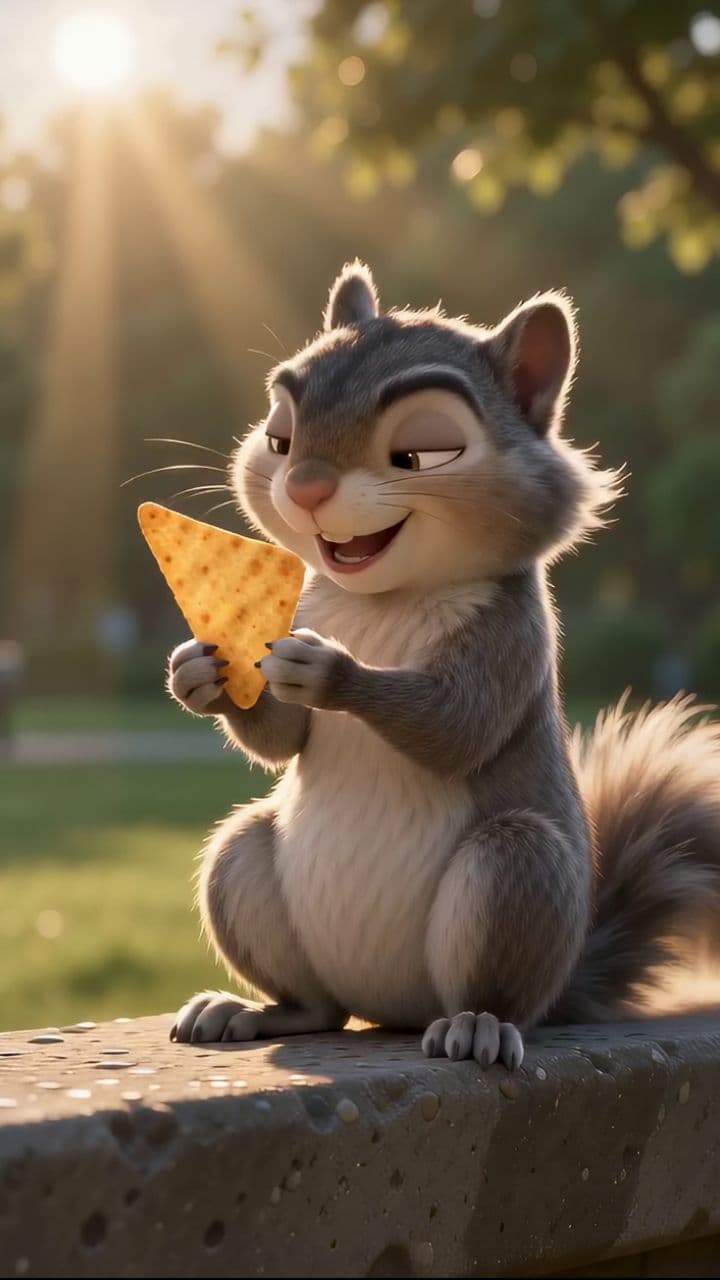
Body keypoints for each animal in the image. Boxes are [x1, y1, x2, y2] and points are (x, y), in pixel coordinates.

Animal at [167, 262, 720, 1069]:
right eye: (278, 437)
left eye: (424, 453)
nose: (304, 487)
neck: (382, 598)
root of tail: (390, 1010)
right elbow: (282, 738)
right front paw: (197, 674)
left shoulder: (512, 637)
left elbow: (457, 723)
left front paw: (332, 671)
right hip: (246, 871)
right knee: (318, 1006)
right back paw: (250, 1012)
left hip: (516, 878)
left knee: (491, 990)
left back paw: (479, 1025)